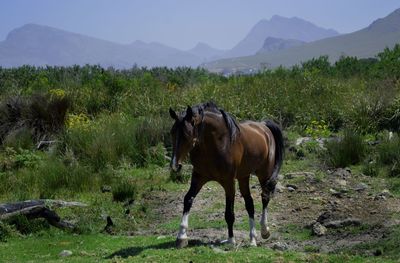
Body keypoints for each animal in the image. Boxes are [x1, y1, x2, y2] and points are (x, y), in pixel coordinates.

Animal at [169, 102, 284, 249]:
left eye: (186, 134)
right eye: (172, 132)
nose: (175, 165)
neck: (215, 144)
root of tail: (263, 126)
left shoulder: (228, 182)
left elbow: (229, 213)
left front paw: (231, 240)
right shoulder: (198, 177)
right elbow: (188, 199)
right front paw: (181, 237)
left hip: (264, 174)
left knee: (265, 197)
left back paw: (264, 230)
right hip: (243, 176)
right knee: (250, 203)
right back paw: (252, 239)